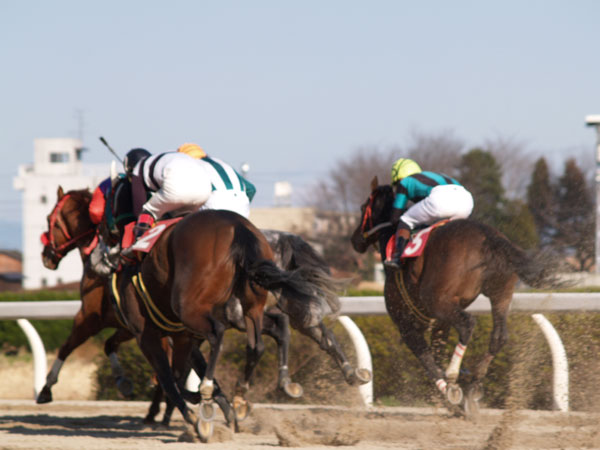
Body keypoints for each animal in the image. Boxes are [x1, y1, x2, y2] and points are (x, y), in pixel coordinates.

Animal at [350, 178, 560, 416]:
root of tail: (489, 236)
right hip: (500, 294)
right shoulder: (441, 323)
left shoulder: (406, 324)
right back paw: (474, 382)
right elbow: (436, 353)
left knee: (468, 323)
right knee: (499, 336)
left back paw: (453, 377)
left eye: (362, 208)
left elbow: (427, 361)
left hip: (436, 298)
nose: (355, 239)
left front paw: (448, 391)